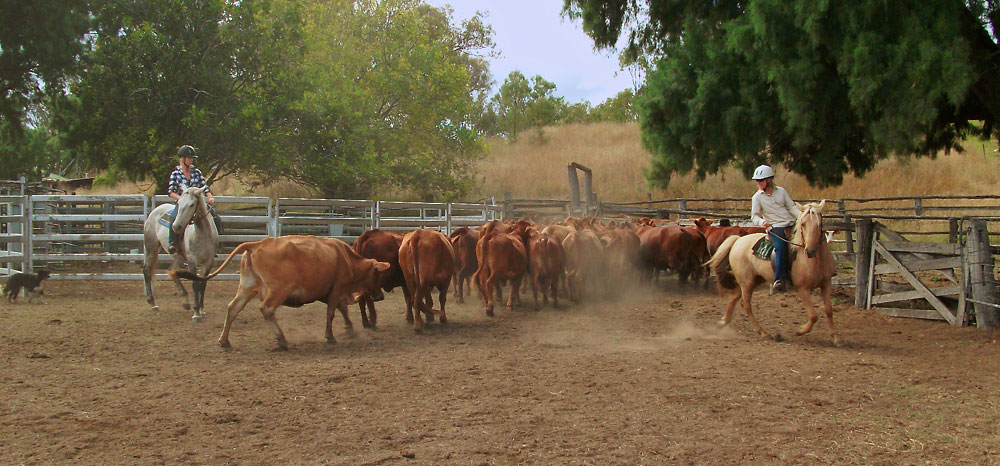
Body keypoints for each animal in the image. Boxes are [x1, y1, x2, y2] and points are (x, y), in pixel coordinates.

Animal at [140, 186, 218, 320]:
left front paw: (201, 310)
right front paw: (196, 313)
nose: (176, 227)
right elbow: (195, 284)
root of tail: (155, 211)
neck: (203, 234)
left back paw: (186, 301)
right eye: (179, 203)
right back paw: (153, 303)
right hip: (151, 247)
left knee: (172, 270)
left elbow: (203, 283)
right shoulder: (192, 261)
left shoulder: (208, 262)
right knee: (147, 270)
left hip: (179, 256)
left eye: (192, 204)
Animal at [170, 237, 388, 350]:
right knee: (266, 309)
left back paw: (224, 341)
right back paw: (282, 339)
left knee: (233, 309)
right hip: (278, 290)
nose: (381, 297)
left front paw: (350, 330)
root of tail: (255, 245)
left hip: (247, 287)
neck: (345, 257)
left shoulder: (331, 291)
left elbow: (342, 310)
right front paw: (331, 336)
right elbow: (332, 312)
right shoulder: (336, 288)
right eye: (377, 275)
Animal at [708, 198, 840, 344]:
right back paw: (763, 332)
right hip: (746, 282)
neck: (814, 261)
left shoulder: (826, 284)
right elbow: (814, 315)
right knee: (746, 304)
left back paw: (723, 322)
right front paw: (800, 331)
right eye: (803, 224)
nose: (810, 251)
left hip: (753, 280)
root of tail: (738, 240)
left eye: (819, 224)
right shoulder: (802, 289)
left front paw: (835, 337)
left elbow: (828, 310)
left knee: (734, 298)